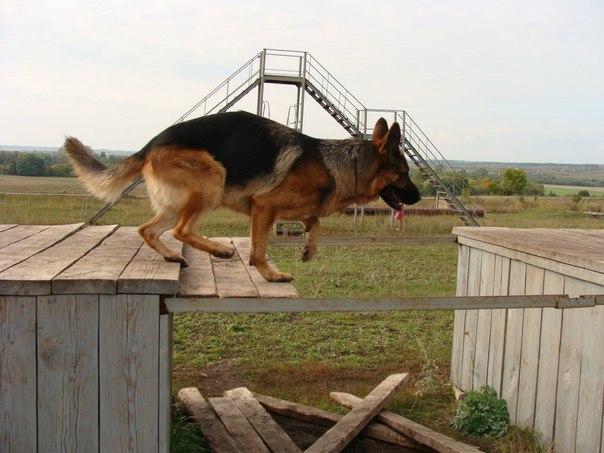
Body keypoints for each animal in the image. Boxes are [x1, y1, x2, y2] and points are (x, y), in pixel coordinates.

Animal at [63, 111, 418, 280]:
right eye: (404, 174)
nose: (415, 198)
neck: (341, 165)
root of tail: (151, 144)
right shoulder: (264, 208)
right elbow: (259, 250)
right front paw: (270, 274)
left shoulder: (297, 211)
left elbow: (314, 223)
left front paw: (308, 250)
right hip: (212, 180)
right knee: (181, 230)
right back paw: (218, 249)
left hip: (179, 201)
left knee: (148, 229)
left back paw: (172, 256)